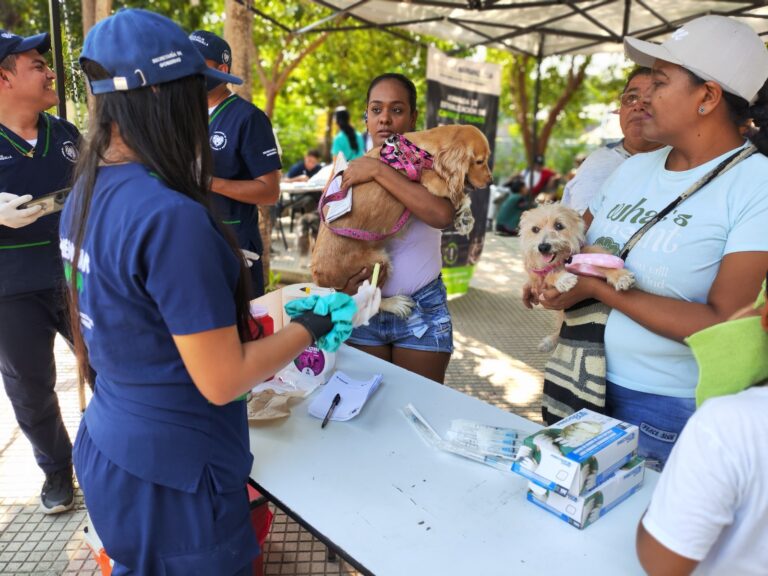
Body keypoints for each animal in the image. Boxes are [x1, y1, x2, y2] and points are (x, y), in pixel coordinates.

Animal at [310, 124, 492, 318]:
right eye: (479, 161)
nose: (491, 181)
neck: (419, 150)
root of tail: (318, 276)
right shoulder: (432, 181)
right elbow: (458, 192)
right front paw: (463, 208)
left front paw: (465, 217)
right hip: (378, 261)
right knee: (369, 298)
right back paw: (395, 304)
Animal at [520, 205, 640, 352]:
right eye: (535, 229)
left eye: (559, 225)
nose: (543, 247)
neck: (562, 261)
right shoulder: (539, 278)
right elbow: (549, 275)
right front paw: (563, 279)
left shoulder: (588, 256)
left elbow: (603, 264)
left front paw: (620, 276)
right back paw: (550, 341)